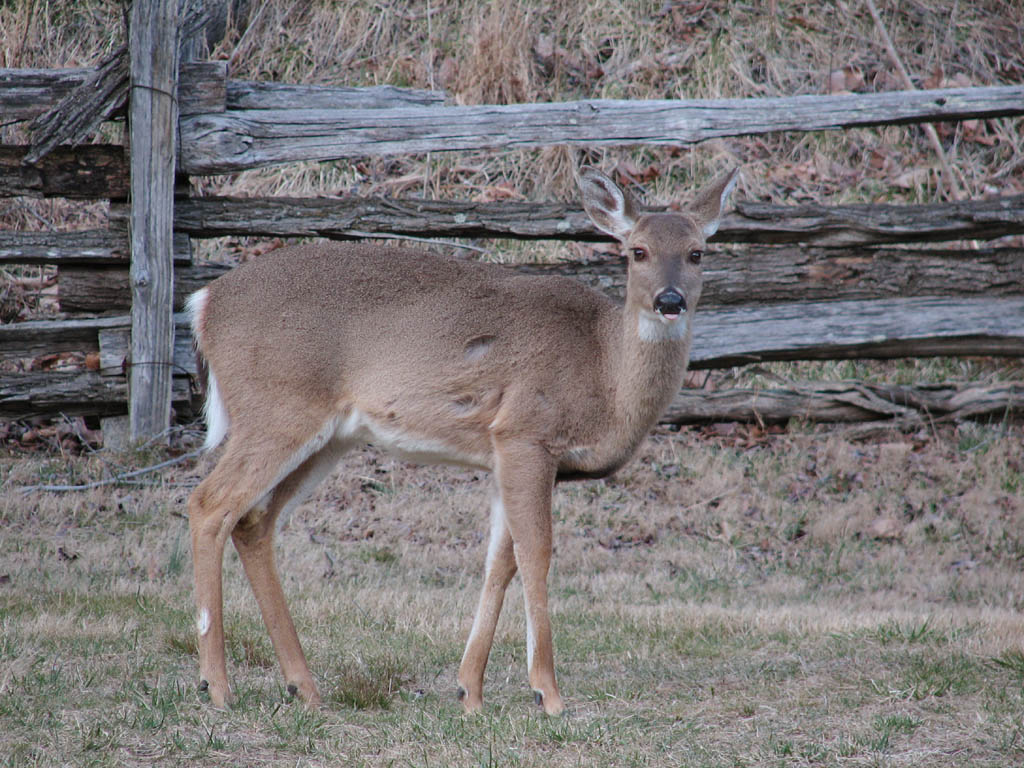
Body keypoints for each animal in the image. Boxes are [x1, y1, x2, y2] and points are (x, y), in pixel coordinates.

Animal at [186, 163, 737, 716]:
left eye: (697, 252)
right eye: (637, 251)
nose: (670, 301)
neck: (605, 373)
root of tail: (203, 303)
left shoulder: (508, 458)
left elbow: (500, 562)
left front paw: (469, 690)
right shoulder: (524, 433)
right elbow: (536, 554)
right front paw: (548, 693)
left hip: (328, 436)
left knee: (254, 521)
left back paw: (304, 686)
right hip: (277, 409)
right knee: (210, 503)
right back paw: (217, 685)